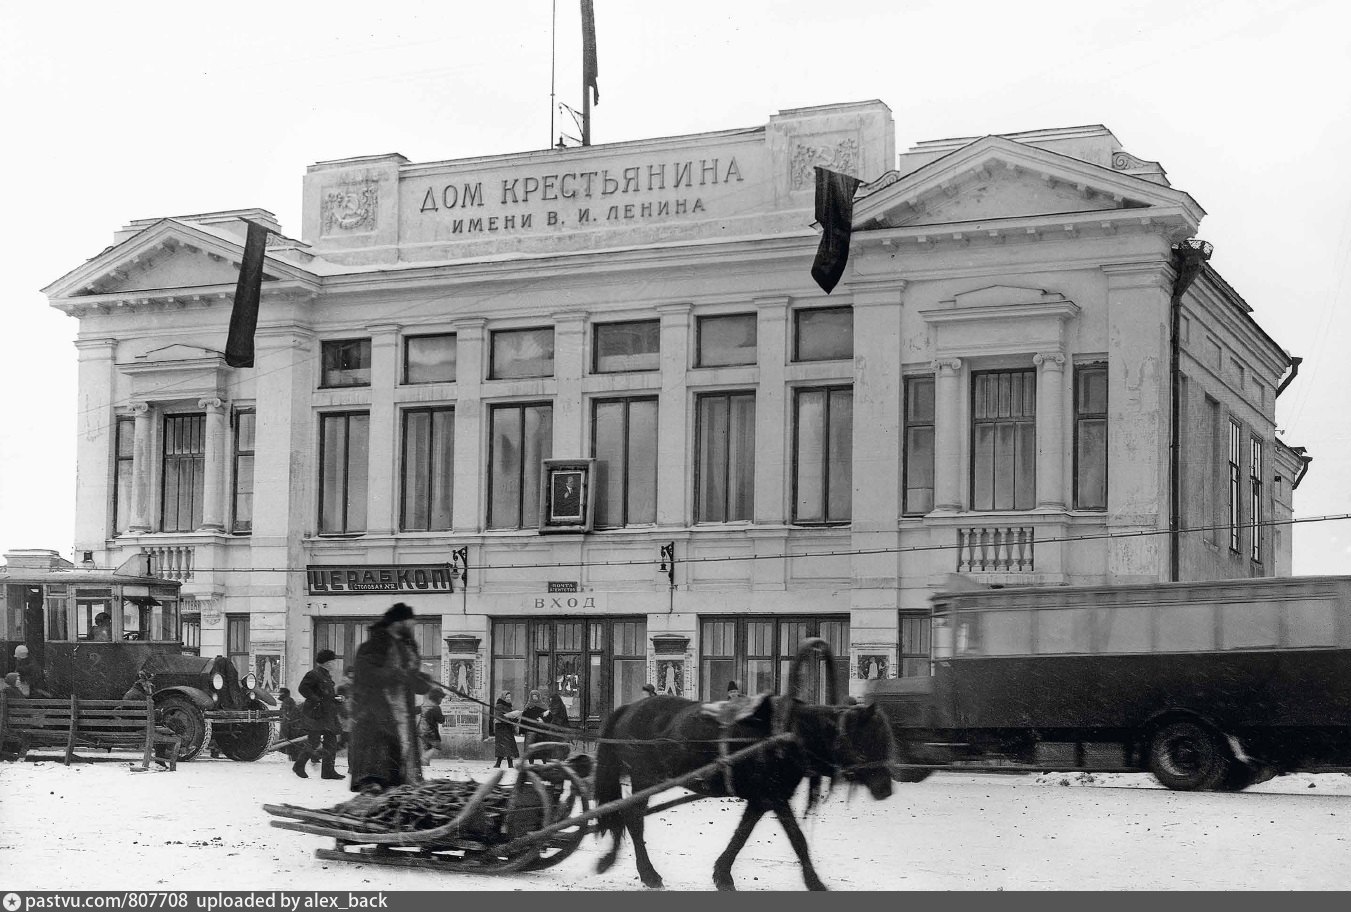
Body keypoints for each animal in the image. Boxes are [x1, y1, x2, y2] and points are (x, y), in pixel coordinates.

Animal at [594, 643, 897, 891]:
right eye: (867, 742)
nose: (886, 790)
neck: (789, 733)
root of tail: (629, 707)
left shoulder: (762, 799)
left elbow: (743, 833)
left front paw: (722, 874)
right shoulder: (774, 796)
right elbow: (797, 838)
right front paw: (815, 883)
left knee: (628, 816)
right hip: (643, 777)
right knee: (633, 818)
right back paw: (647, 873)